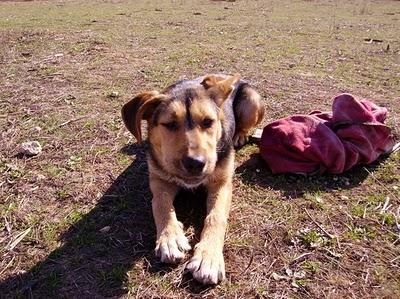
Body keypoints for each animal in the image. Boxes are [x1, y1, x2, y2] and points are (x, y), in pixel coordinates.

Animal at [122, 74, 266, 284]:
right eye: (170, 124)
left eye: (208, 122)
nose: (195, 163)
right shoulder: (159, 179)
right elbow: (160, 204)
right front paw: (170, 237)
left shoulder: (221, 183)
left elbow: (216, 217)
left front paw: (208, 257)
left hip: (251, 101)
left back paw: (239, 135)